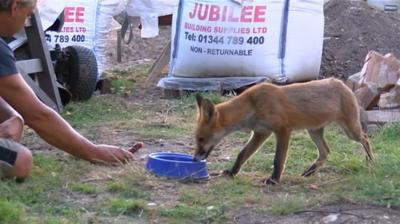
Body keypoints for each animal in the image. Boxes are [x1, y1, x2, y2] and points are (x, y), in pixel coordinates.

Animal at [194, 78, 376, 185]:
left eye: (201, 139)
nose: (195, 159)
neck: (252, 105)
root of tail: (342, 83)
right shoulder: (261, 132)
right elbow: (242, 155)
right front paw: (232, 173)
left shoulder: (282, 130)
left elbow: (278, 159)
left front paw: (274, 180)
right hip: (314, 131)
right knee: (325, 151)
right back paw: (309, 172)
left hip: (350, 130)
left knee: (365, 138)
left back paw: (371, 162)